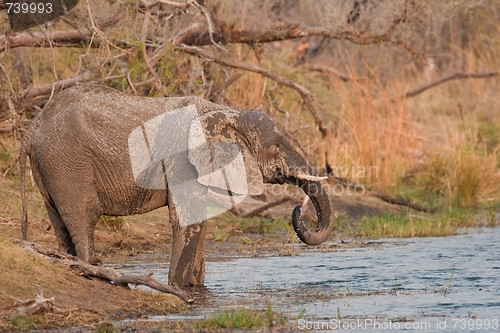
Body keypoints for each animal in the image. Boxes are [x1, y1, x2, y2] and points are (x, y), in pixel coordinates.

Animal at [19, 83, 334, 286]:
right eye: (277, 145)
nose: (297, 211)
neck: (223, 111)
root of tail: (34, 124)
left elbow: (199, 218)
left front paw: (195, 287)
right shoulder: (182, 160)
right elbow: (185, 217)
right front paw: (178, 288)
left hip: (50, 167)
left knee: (59, 221)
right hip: (68, 162)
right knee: (84, 215)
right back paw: (93, 270)